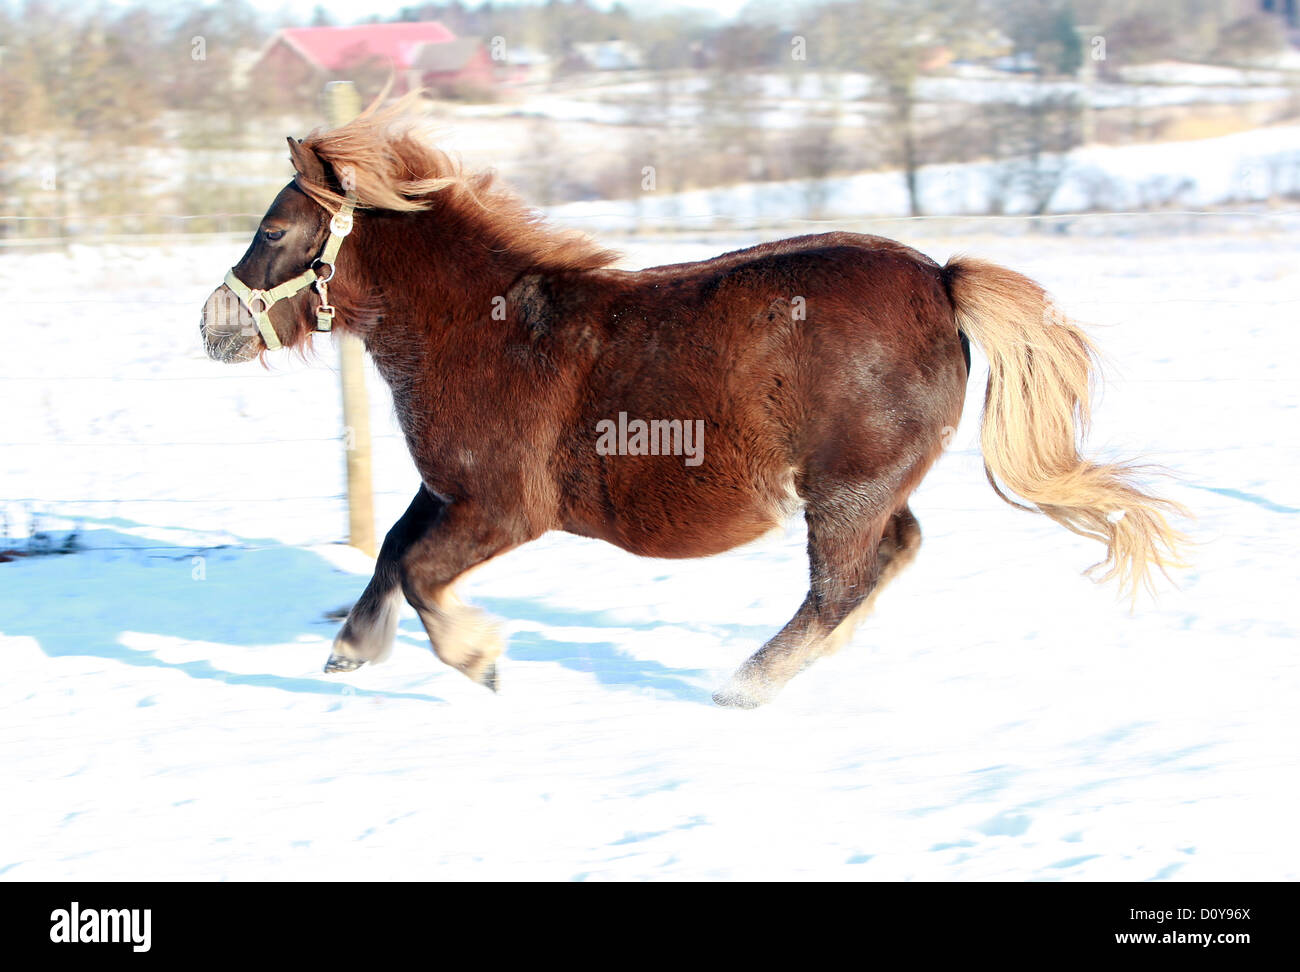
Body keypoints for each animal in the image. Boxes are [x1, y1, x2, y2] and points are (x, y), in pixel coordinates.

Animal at [200, 98, 1190, 706]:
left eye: (274, 230)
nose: (213, 324)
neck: (486, 329)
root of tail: (943, 282)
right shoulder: (451, 490)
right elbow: (392, 552)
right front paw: (350, 650)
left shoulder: (505, 509)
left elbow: (417, 569)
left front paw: (478, 660)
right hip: (868, 488)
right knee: (892, 555)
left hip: (843, 491)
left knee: (840, 583)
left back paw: (743, 687)